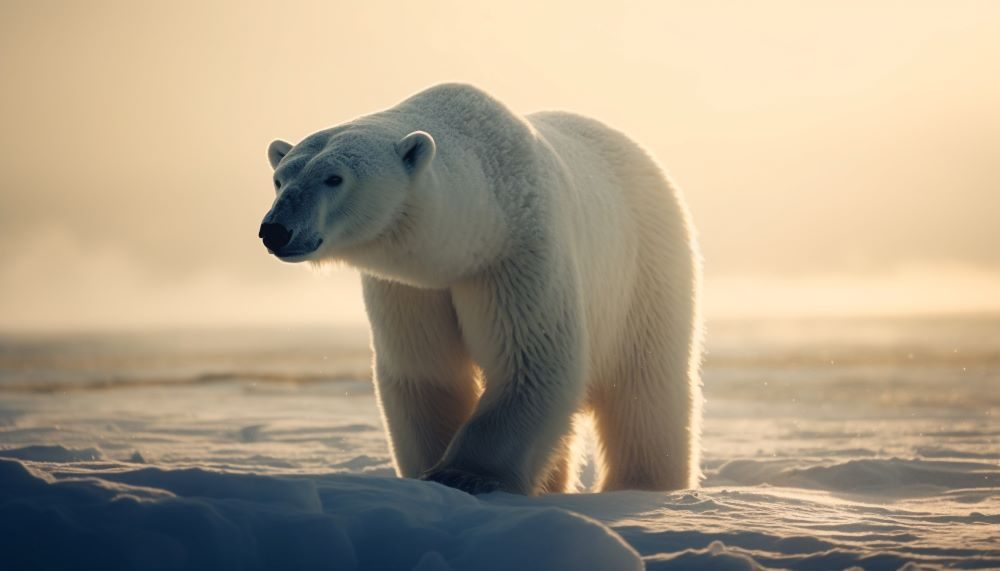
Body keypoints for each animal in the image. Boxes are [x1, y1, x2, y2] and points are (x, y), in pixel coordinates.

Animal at [262, 84, 708, 496]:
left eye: (334, 178)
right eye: (280, 178)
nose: (275, 230)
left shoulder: (518, 255)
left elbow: (530, 362)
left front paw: (465, 475)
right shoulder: (410, 287)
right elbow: (426, 371)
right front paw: (430, 473)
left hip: (646, 267)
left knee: (646, 387)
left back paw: (642, 484)